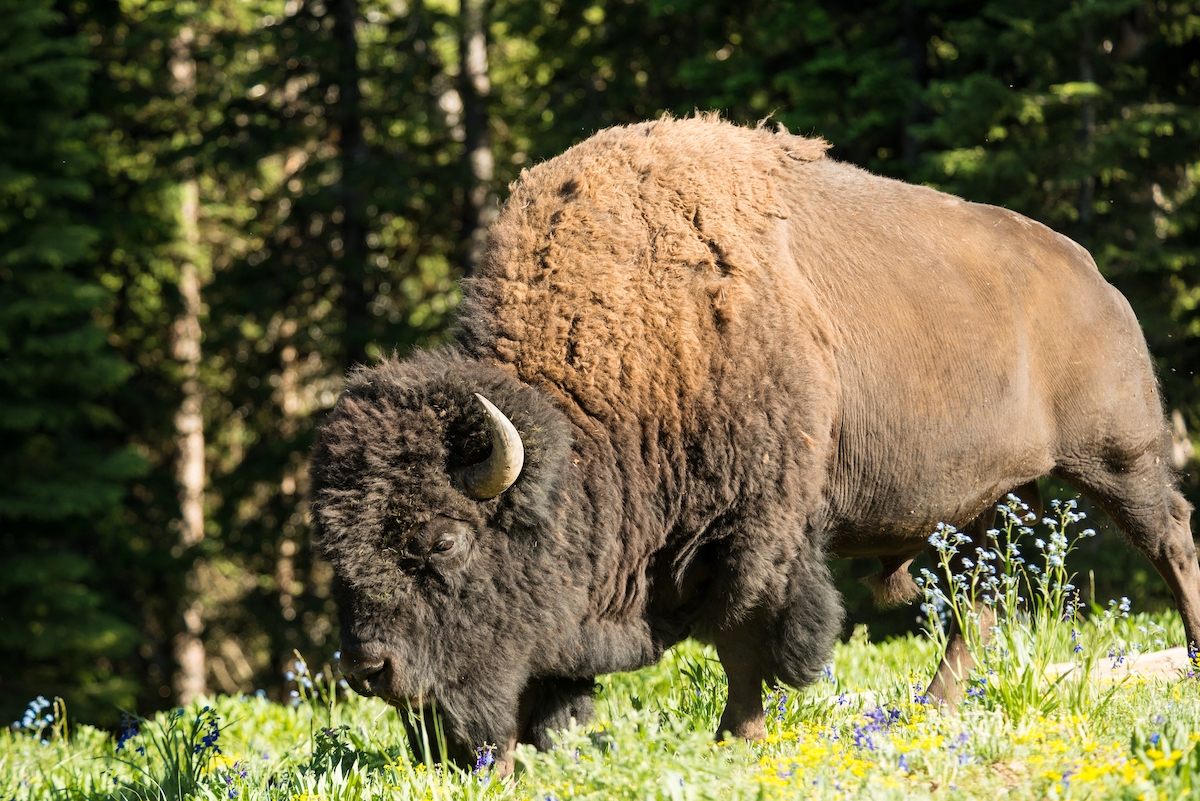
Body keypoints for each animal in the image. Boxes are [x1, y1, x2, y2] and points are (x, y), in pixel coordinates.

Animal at [310, 115, 1199, 773]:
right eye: (336, 550)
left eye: (444, 539)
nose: (369, 668)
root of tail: (1094, 278)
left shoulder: (754, 532)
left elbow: (745, 635)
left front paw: (736, 736)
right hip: (990, 502)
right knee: (980, 600)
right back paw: (929, 710)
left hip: (1119, 461)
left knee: (1172, 541)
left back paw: (1188, 660)